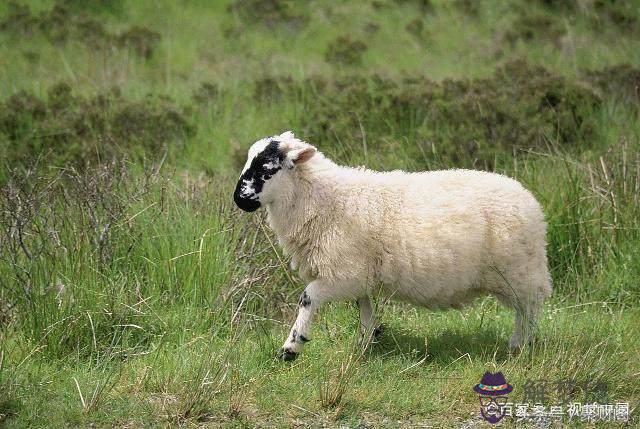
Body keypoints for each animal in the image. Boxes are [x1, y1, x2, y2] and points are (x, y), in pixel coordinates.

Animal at [232, 130, 552, 362]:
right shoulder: (359, 276)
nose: (238, 199)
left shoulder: (343, 274)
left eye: (267, 168)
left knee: (530, 309)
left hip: (519, 271)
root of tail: (530, 201)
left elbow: (307, 298)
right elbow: (364, 309)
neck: (323, 197)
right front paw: (364, 345)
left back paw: (520, 344)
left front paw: (291, 348)